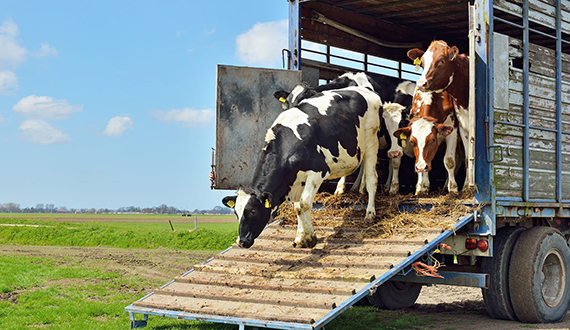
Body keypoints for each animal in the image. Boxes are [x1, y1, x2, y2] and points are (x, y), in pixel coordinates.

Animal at [224, 84, 380, 248]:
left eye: (252, 211)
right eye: (236, 213)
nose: (241, 242)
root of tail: (365, 90)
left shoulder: (317, 171)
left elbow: (305, 204)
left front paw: (311, 238)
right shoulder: (296, 180)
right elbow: (298, 207)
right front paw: (300, 237)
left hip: (371, 142)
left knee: (372, 179)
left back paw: (370, 214)